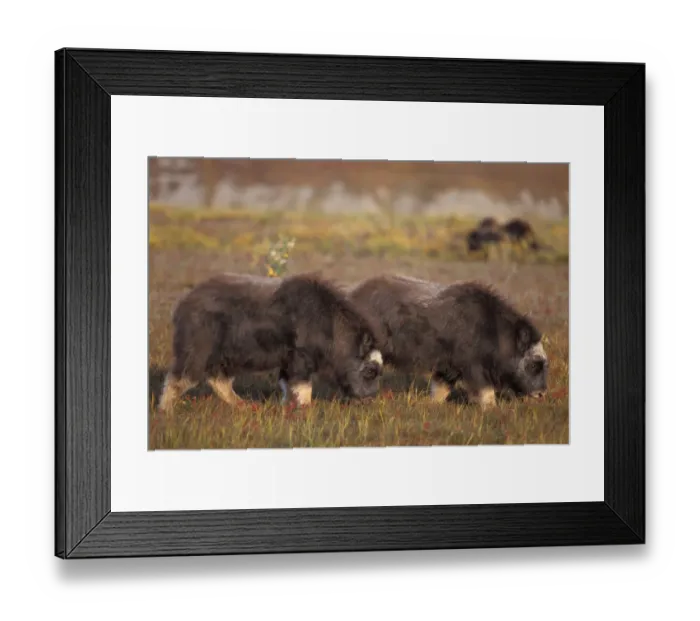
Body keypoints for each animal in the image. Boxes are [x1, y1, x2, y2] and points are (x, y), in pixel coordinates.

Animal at [157, 272, 385, 412]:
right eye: (369, 371)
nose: (370, 398)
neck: (330, 325)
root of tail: (182, 303)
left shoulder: (287, 362)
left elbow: (286, 385)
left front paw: (287, 408)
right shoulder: (300, 359)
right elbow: (303, 387)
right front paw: (305, 409)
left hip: (225, 358)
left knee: (219, 380)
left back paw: (243, 405)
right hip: (196, 352)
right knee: (179, 378)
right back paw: (166, 411)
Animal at [348, 274, 549, 407]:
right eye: (533, 364)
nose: (541, 394)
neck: (494, 330)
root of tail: (352, 295)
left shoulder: (448, 367)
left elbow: (441, 387)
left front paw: (434, 405)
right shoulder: (474, 366)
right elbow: (485, 390)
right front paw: (491, 409)